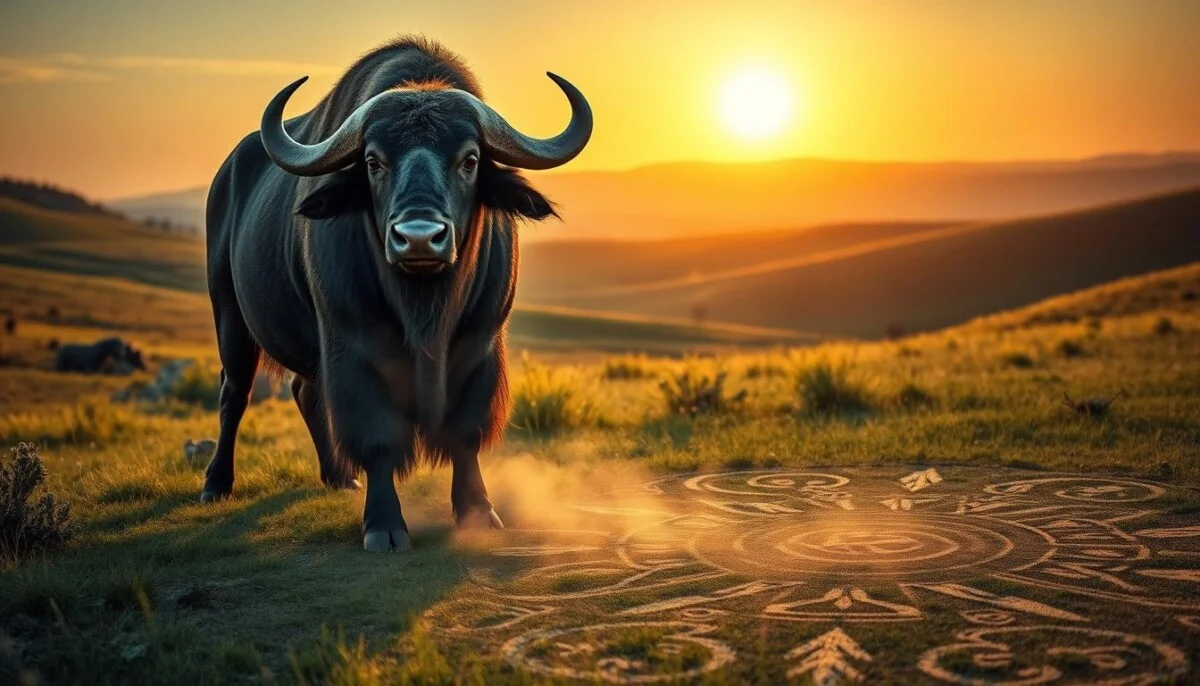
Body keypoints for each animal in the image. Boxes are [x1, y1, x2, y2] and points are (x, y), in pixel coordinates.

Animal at [202, 36, 592, 551]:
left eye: (469, 159)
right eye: (373, 161)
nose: (419, 238)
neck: (424, 306)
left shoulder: (481, 342)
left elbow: (465, 433)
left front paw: (478, 512)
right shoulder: (352, 343)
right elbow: (377, 436)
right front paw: (384, 526)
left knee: (306, 391)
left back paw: (339, 478)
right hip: (229, 315)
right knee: (235, 393)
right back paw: (216, 484)